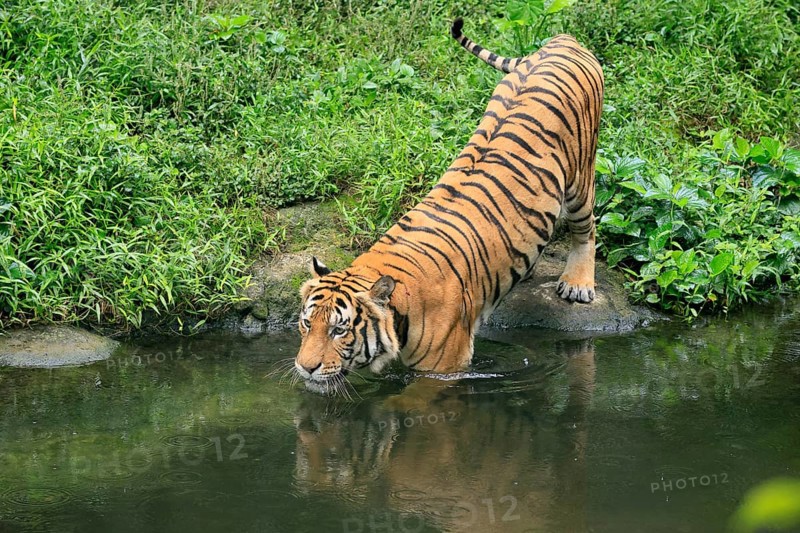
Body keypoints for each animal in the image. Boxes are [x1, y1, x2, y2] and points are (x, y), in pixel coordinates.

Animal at [295, 18, 604, 391]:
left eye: (339, 330)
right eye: (307, 323)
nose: (304, 367)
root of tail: (562, 41)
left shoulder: (443, 368)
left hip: (581, 176)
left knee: (586, 228)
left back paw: (578, 284)